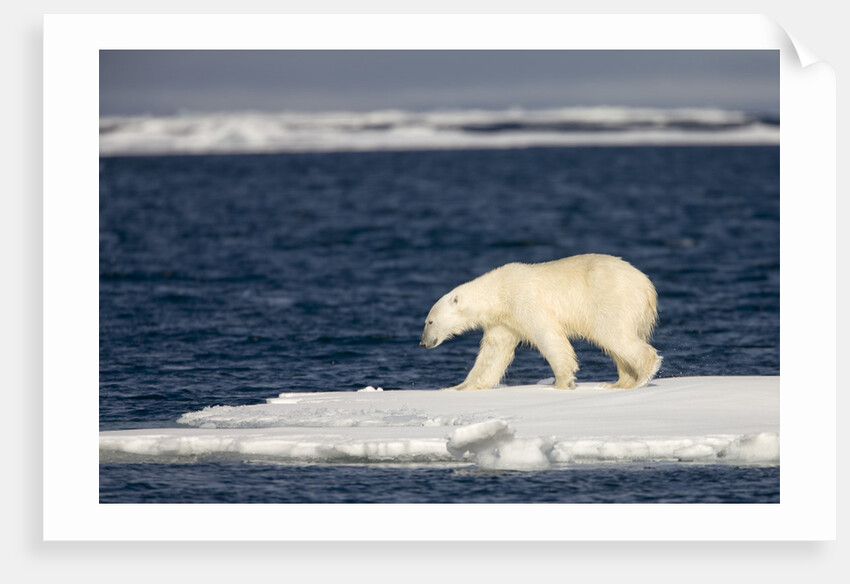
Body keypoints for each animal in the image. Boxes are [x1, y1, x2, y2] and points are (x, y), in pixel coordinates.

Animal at [420, 254, 661, 390]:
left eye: (429, 321)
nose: (423, 343)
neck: (497, 292)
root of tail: (647, 287)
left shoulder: (522, 299)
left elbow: (547, 334)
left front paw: (562, 382)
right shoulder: (503, 321)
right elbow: (493, 353)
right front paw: (459, 387)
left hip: (611, 299)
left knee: (613, 334)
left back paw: (642, 376)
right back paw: (617, 383)